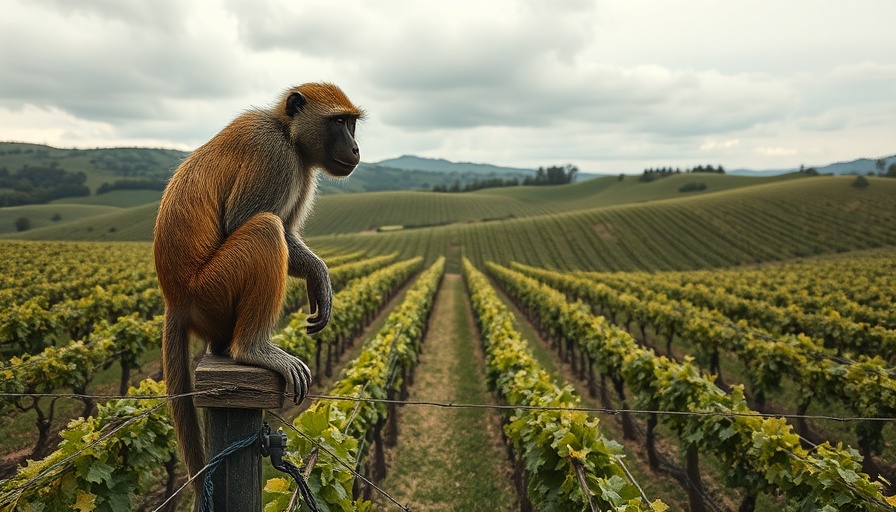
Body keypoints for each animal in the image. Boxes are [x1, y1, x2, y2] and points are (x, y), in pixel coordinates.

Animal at [153, 82, 364, 506]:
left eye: (351, 123)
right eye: (339, 122)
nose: (355, 148)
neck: (287, 131)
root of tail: (177, 300)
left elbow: (289, 232)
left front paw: (319, 275)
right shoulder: (276, 157)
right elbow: (247, 222)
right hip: (211, 291)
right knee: (265, 229)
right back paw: (252, 350)